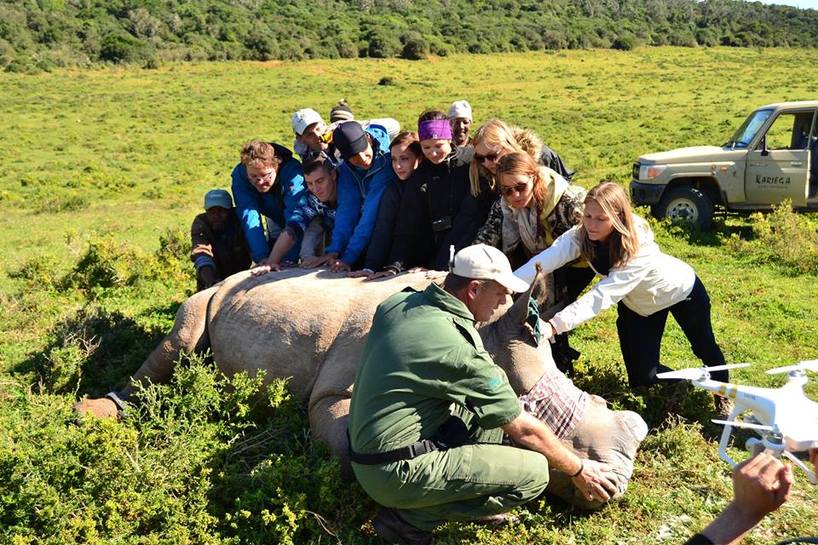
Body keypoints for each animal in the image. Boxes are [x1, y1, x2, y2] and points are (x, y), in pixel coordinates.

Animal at [79, 266, 648, 506]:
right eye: (538, 411)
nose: (614, 488)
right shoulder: (333, 395)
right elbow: (348, 448)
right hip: (216, 290)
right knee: (183, 333)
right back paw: (95, 412)